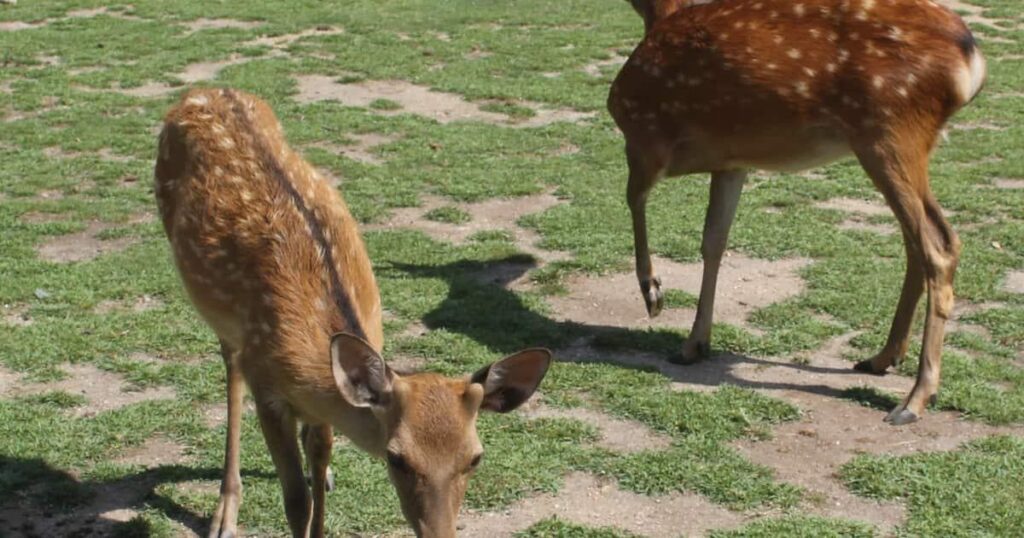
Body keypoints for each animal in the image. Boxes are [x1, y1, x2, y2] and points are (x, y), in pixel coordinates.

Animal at [154, 87, 553, 538]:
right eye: (396, 457)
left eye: (475, 457)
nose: (439, 533)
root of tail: (204, 91)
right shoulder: (266, 386)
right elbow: (297, 500)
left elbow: (321, 453)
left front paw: (324, 479)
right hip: (219, 316)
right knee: (231, 367)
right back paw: (225, 512)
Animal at [608, 0, 986, 425]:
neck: (657, 15)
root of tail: (969, 55)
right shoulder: (732, 160)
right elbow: (714, 240)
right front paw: (695, 343)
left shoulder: (644, 133)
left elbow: (634, 199)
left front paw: (653, 294)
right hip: (901, 143)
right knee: (917, 244)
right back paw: (882, 358)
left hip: (889, 132)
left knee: (939, 245)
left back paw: (914, 399)